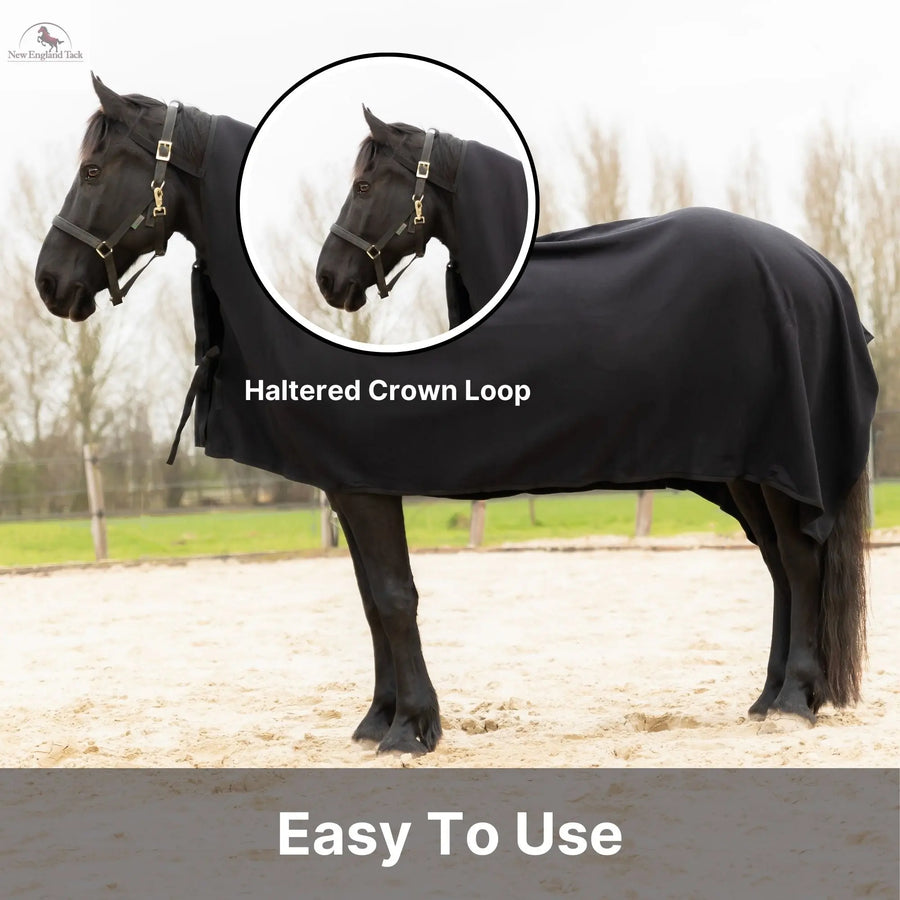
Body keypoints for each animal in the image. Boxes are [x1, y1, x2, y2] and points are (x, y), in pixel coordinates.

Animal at [35, 77, 877, 756]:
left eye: (92, 170)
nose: (49, 282)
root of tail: (815, 269)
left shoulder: (368, 490)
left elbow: (394, 597)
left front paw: (412, 729)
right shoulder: (350, 491)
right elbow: (372, 600)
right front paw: (379, 721)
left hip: (772, 464)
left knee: (799, 560)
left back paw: (794, 702)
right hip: (743, 471)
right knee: (781, 564)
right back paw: (768, 700)